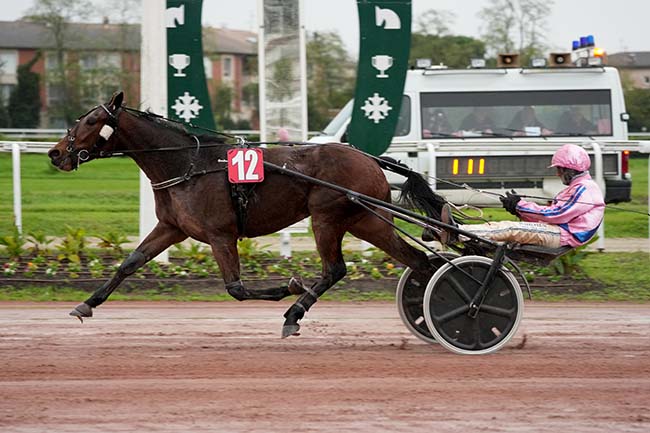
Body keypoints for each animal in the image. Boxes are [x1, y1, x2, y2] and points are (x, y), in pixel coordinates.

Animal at [46, 91, 446, 336]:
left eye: (90, 121)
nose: (55, 153)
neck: (188, 164)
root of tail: (369, 158)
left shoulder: (220, 234)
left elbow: (236, 288)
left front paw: (289, 286)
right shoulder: (172, 227)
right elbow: (130, 262)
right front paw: (86, 304)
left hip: (327, 218)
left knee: (335, 269)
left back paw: (294, 314)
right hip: (367, 220)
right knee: (419, 261)